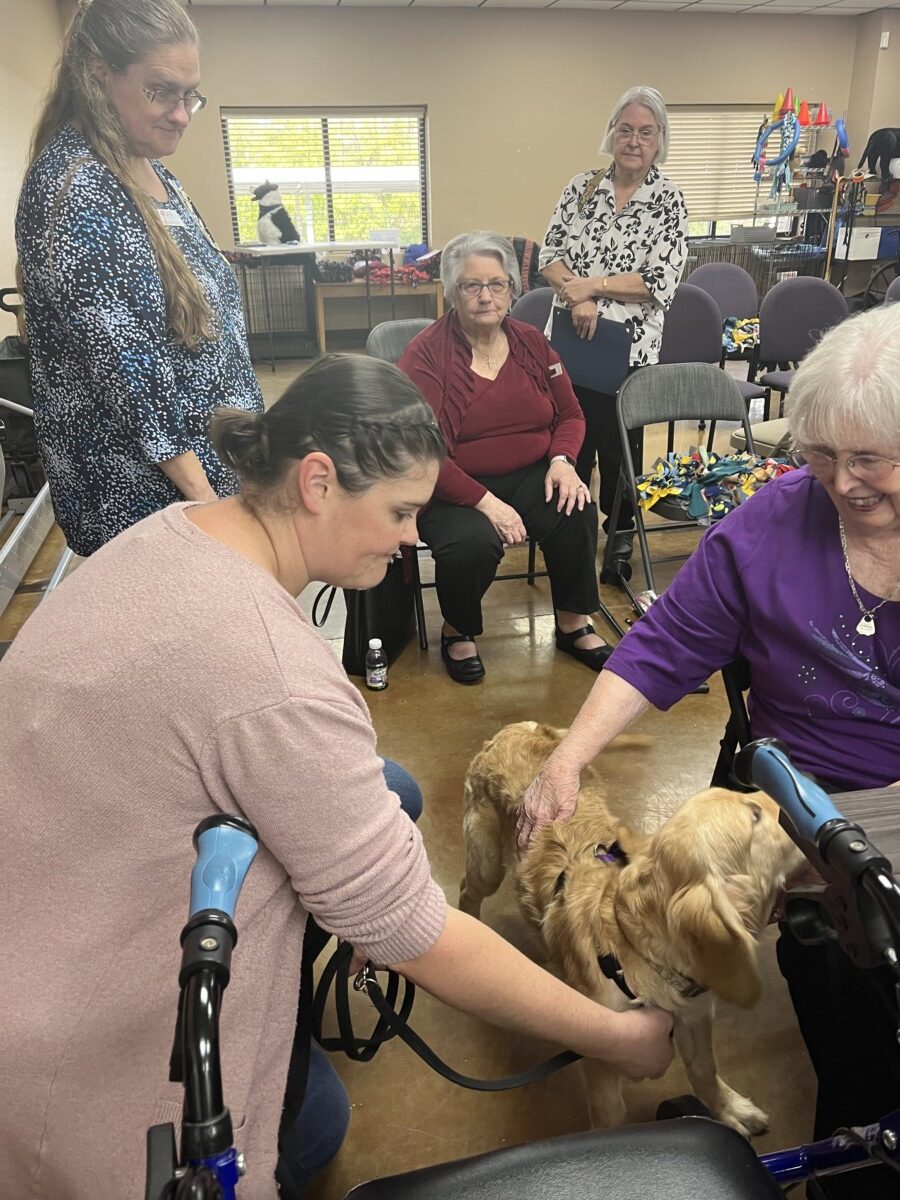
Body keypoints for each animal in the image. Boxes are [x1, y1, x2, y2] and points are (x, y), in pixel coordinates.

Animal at [460, 720, 806, 1132]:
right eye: (755, 815)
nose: (812, 783)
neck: (634, 949)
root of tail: (519, 727)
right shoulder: (603, 1048)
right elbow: (611, 1112)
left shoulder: (695, 1016)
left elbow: (704, 1069)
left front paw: (729, 1108)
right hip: (487, 864)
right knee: (466, 890)